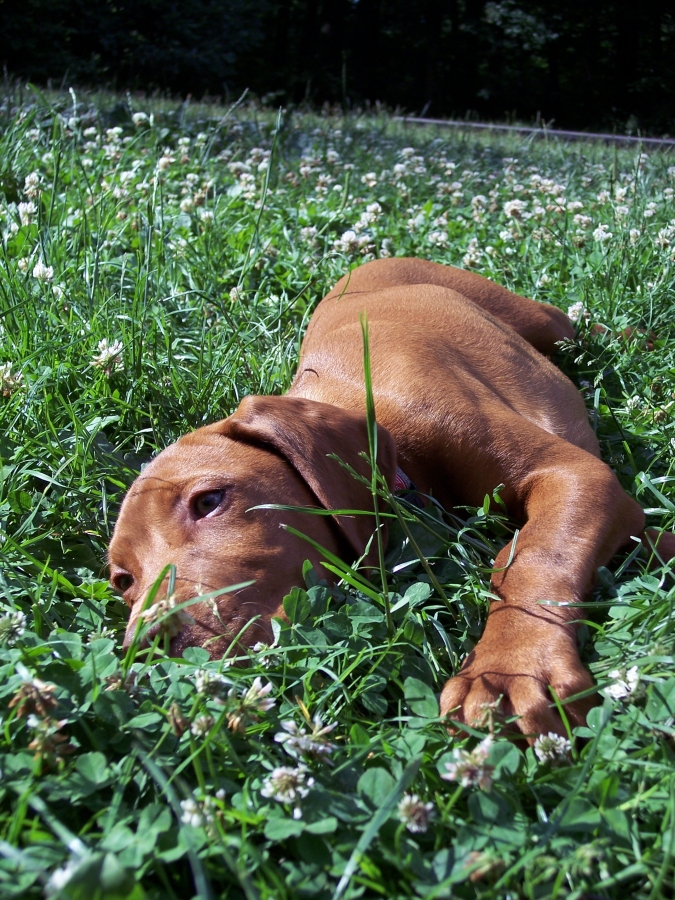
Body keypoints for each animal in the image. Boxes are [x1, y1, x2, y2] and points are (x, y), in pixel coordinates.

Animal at [109, 258, 675, 739]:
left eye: (208, 501)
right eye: (121, 581)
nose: (146, 650)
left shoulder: (573, 474)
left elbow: (536, 554)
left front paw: (511, 667)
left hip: (536, 319)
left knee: (584, 326)